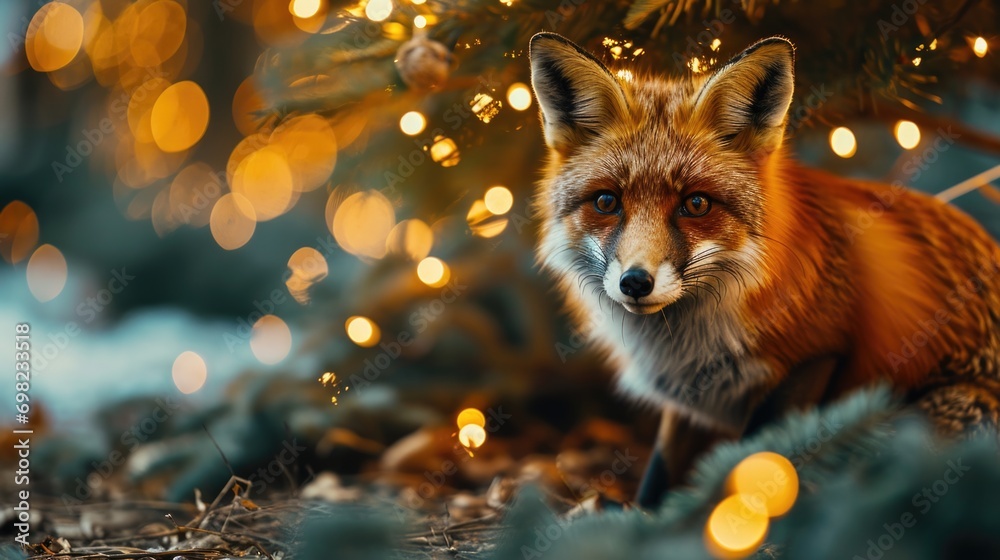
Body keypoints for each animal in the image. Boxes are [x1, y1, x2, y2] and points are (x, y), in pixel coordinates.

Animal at [528, 32, 1000, 508]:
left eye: (696, 204)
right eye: (607, 201)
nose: (635, 283)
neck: (691, 344)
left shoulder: (815, 358)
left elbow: (757, 463)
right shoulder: (686, 403)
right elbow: (659, 477)